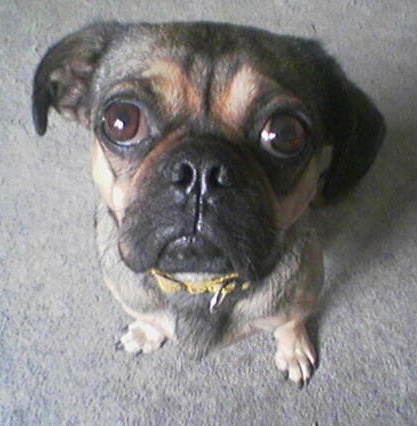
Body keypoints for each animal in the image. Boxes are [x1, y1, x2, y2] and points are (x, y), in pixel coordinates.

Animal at [30, 20, 386, 386]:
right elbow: (150, 319)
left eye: (286, 133)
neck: (197, 282)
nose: (201, 170)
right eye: (121, 121)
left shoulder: (302, 297)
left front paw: (293, 349)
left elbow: (291, 322)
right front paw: (146, 332)